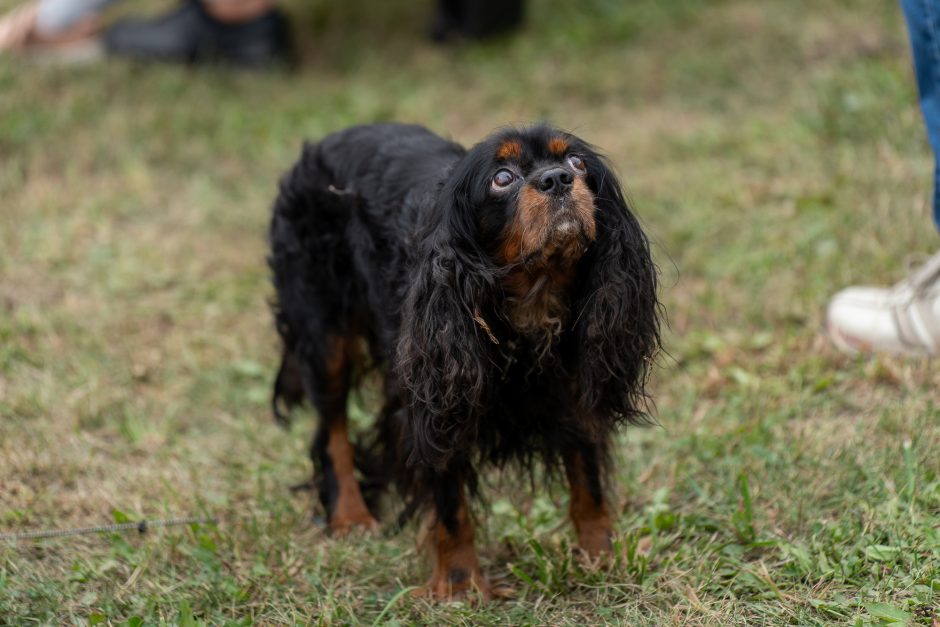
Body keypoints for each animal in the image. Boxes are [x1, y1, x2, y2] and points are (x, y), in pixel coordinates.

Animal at [264, 122, 660, 600]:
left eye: (576, 162)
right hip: (326, 334)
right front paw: (460, 585)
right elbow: (450, 501)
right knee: (331, 430)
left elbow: (589, 483)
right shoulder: (440, 396)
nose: (557, 179)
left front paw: (601, 559)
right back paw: (350, 516)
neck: (531, 298)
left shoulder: (572, 384)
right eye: (502, 178)